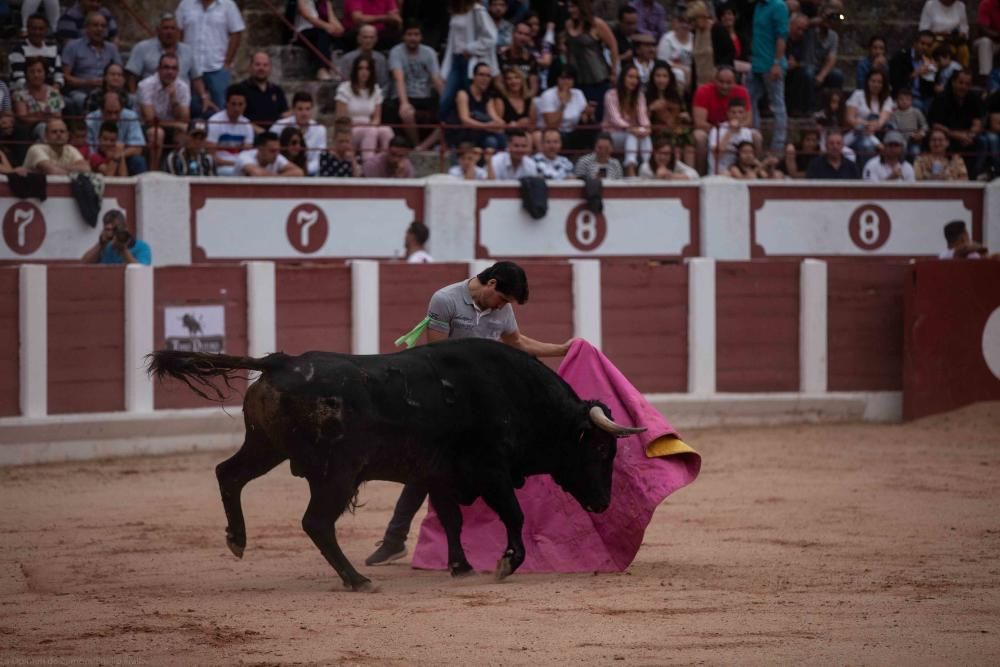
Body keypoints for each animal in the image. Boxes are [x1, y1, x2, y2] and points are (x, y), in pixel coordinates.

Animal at [149, 340, 648, 588]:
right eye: (601, 451)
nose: (603, 503)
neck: (517, 396)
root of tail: (280, 362)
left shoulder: (439, 474)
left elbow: (451, 519)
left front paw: (461, 566)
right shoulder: (491, 471)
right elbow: (514, 514)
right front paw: (508, 562)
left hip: (266, 446)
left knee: (228, 474)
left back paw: (237, 540)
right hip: (337, 473)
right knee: (316, 522)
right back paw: (356, 580)